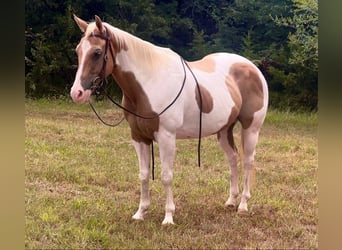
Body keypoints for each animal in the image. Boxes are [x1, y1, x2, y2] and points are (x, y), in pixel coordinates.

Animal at [70, 15, 268, 227]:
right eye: (78, 50)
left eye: (97, 52)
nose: (77, 93)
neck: (150, 81)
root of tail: (252, 67)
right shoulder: (139, 137)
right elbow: (143, 174)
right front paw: (140, 212)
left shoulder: (166, 137)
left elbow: (166, 176)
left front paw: (168, 217)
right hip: (224, 130)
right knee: (232, 159)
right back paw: (231, 201)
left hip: (251, 129)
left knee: (248, 162)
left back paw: (243, 205)